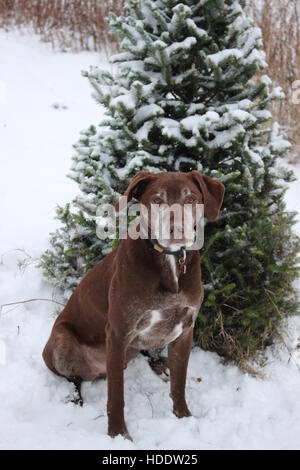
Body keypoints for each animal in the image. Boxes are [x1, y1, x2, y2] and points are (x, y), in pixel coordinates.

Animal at [42, 170, 225, 440]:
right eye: (157, 200)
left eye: (191, 199)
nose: (177, 230)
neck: (169, 261)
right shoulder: (119, 332)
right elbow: (116, 396)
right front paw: (118, 435)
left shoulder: (185, 329)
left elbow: (179, 384)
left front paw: (184, 417)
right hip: (61, 341)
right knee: (72, 377)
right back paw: (75, 398)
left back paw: (160, 365)